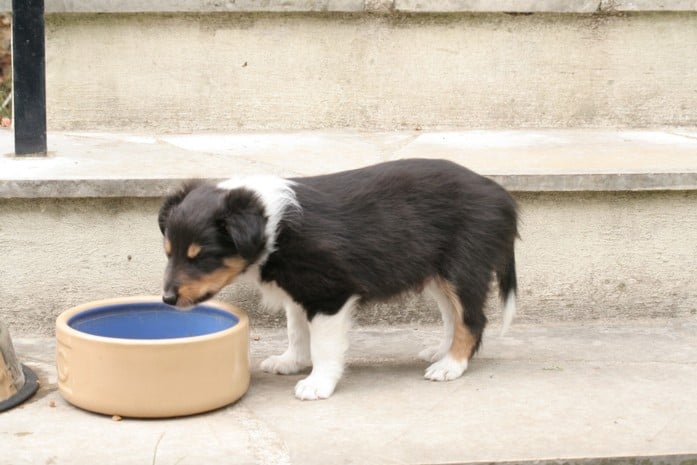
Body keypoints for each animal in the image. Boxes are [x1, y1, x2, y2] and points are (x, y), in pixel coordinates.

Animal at [158, 159, 516, 398]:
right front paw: (291, 361)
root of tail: (501, 196)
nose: (167, 299)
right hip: (438, 273)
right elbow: (296, 331)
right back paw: (440, 352)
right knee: (452, 316)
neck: (273, 227)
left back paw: (450, 366)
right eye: (169, 253)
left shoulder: (328, 293)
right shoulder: (297, 292)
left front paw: (317, 383)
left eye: (199, 256)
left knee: (472, 320)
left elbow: (323, 345)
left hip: (463, 267)